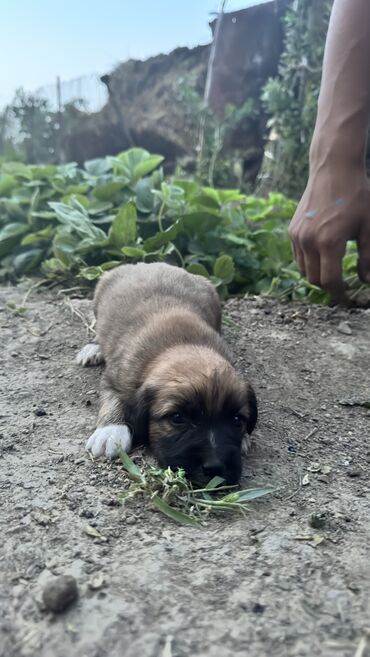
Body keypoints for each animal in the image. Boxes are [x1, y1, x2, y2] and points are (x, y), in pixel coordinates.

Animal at [77, 262, 258, 482]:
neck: (182, 344)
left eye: (237, 420)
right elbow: (112, 399)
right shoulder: (114, 378)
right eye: (177, 418)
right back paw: (93, 348)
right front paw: (110, 431)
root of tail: (151, 264)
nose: (215, 468)